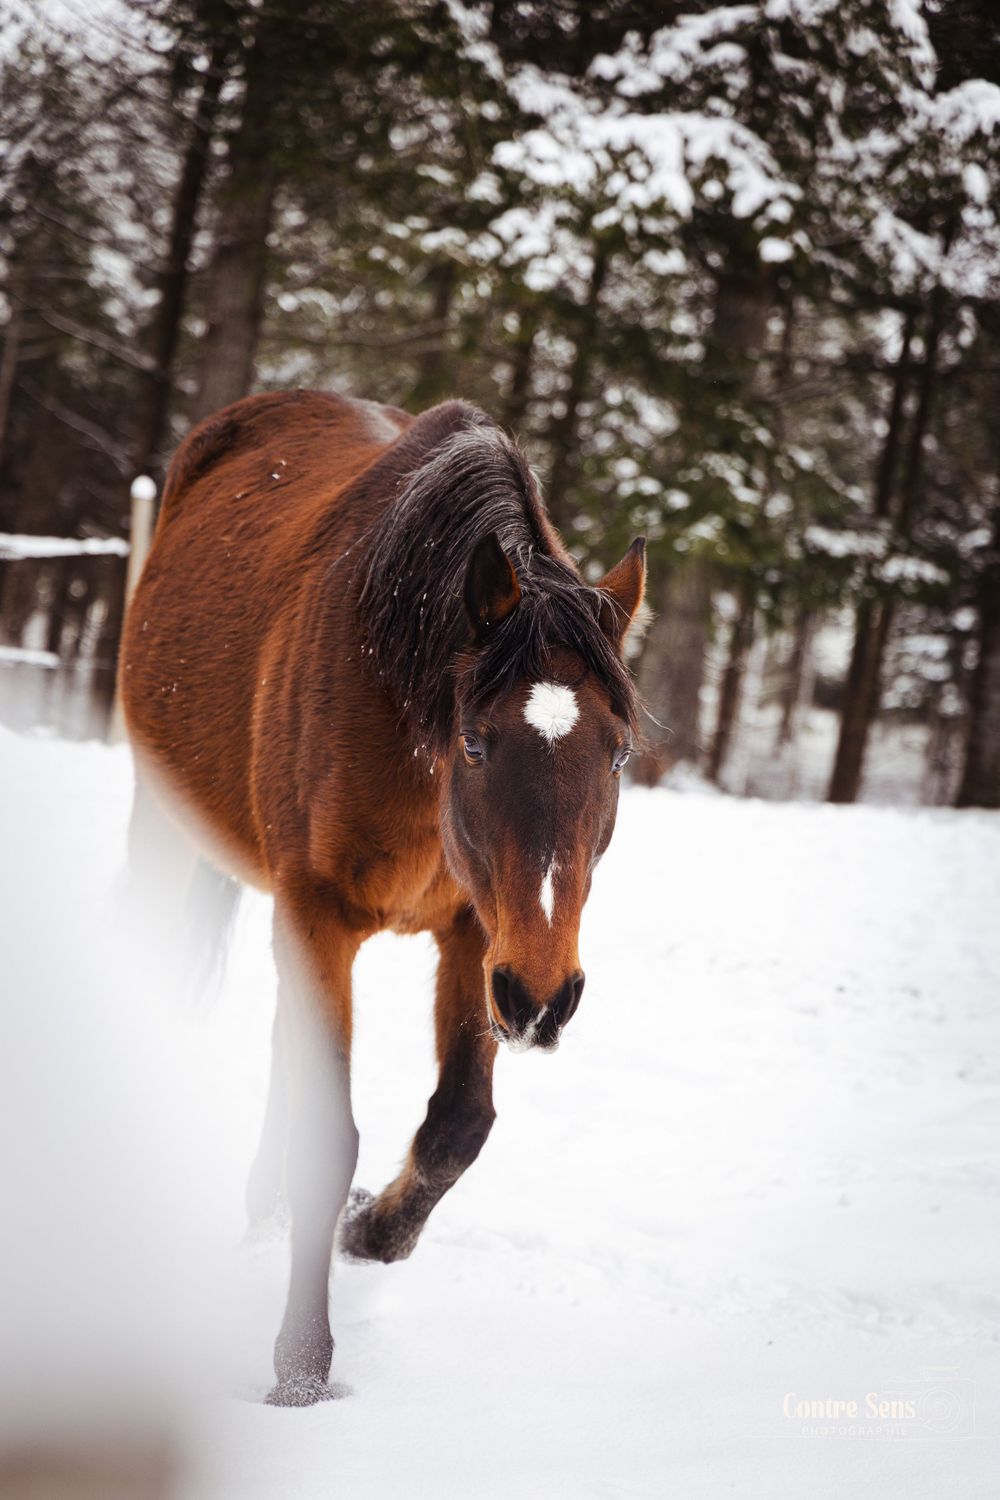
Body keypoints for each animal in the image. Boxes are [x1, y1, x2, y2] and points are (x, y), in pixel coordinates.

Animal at [121, 389, 645, 1406]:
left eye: (617, 754)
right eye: (476, 743)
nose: (547, 1001)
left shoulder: (480, 933)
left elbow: (458, 1126)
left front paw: (368, 1231)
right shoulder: (321, 912)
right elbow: (329, 1137)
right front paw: (301, 1375)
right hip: (164, 821)